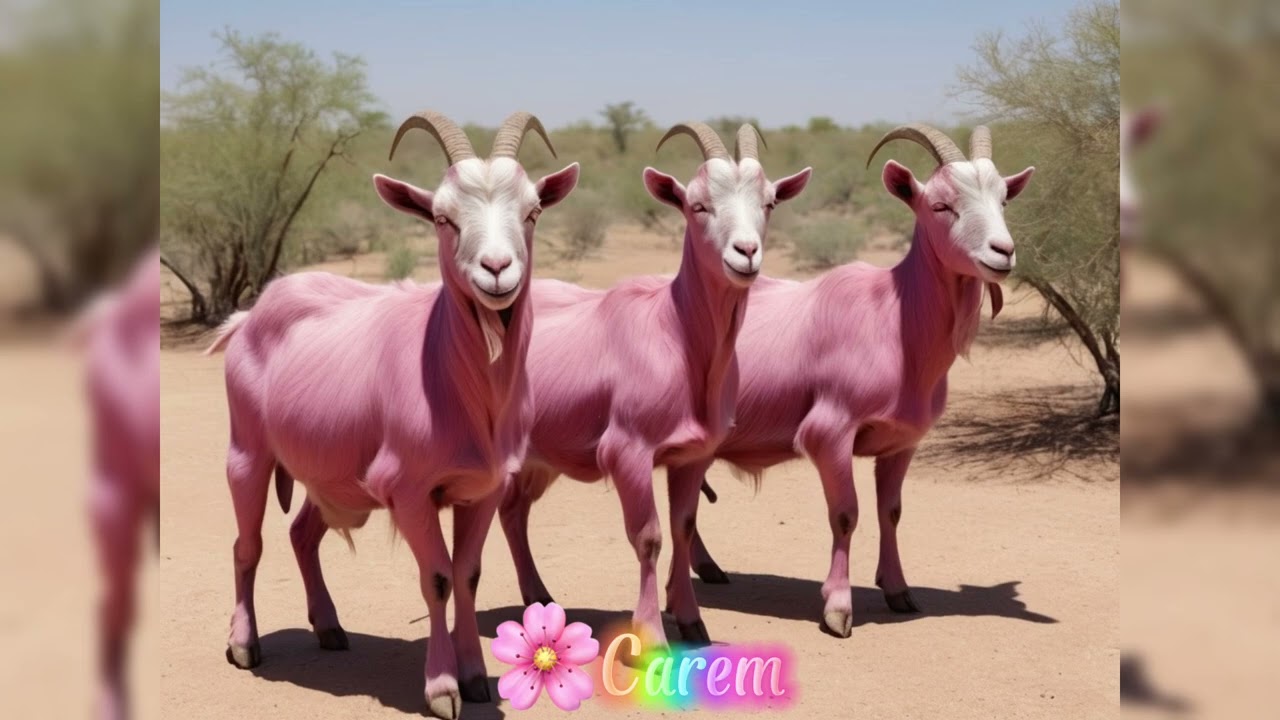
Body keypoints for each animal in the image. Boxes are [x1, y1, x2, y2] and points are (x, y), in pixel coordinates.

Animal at [208, 111, 578, 720]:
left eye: (533, 212)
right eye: (443, 218)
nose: (496, 270)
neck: (460, 384)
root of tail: (249, 315)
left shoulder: (483, 488)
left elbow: (468, 575)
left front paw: (474, 677)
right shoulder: (408, 490)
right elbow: (437, 579)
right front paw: (443, 688)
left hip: (332, 475)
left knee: (302, 533)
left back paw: (329, 627)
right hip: (248, 452)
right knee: (247, 546)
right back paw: (244, 643)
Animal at [498, 123, 811, 648]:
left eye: (769, 202)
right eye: (698, 205)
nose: (746, 253)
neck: (675, 334)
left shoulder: (693, 455)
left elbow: (683, 527)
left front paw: (691, 620)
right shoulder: (629, 453)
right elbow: (648, 537)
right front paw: (650, 635)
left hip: (540, 459)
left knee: (513, 511)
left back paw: (537, 596)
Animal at [680, 125, 1034, 638]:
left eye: (1004, 200)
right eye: (941, 205)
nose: (1002, 252)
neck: (893, 319)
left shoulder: (901, 443)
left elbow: (892, 512)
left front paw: (899, 590)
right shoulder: (830, 434)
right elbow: (846, 514)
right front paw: (838, 607)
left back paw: (708, 568)